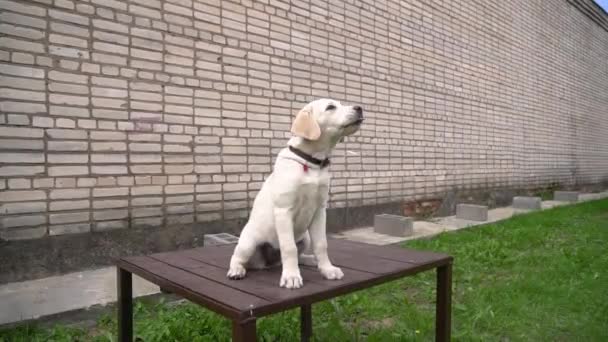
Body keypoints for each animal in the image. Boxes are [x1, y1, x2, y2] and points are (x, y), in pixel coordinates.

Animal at [226, 98, 364, 288]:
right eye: (330, 107)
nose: (360, 108)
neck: (312, 162)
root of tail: (268, 263)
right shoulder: (284, 210)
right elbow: (288, 247)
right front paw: (291, 277)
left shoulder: (320, 210)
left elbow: (321, 244)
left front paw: (327, 269)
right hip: (248, 242)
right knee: (238, 258)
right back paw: (237, 270)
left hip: (304, 238)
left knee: (298, 256)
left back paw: (310, 260)